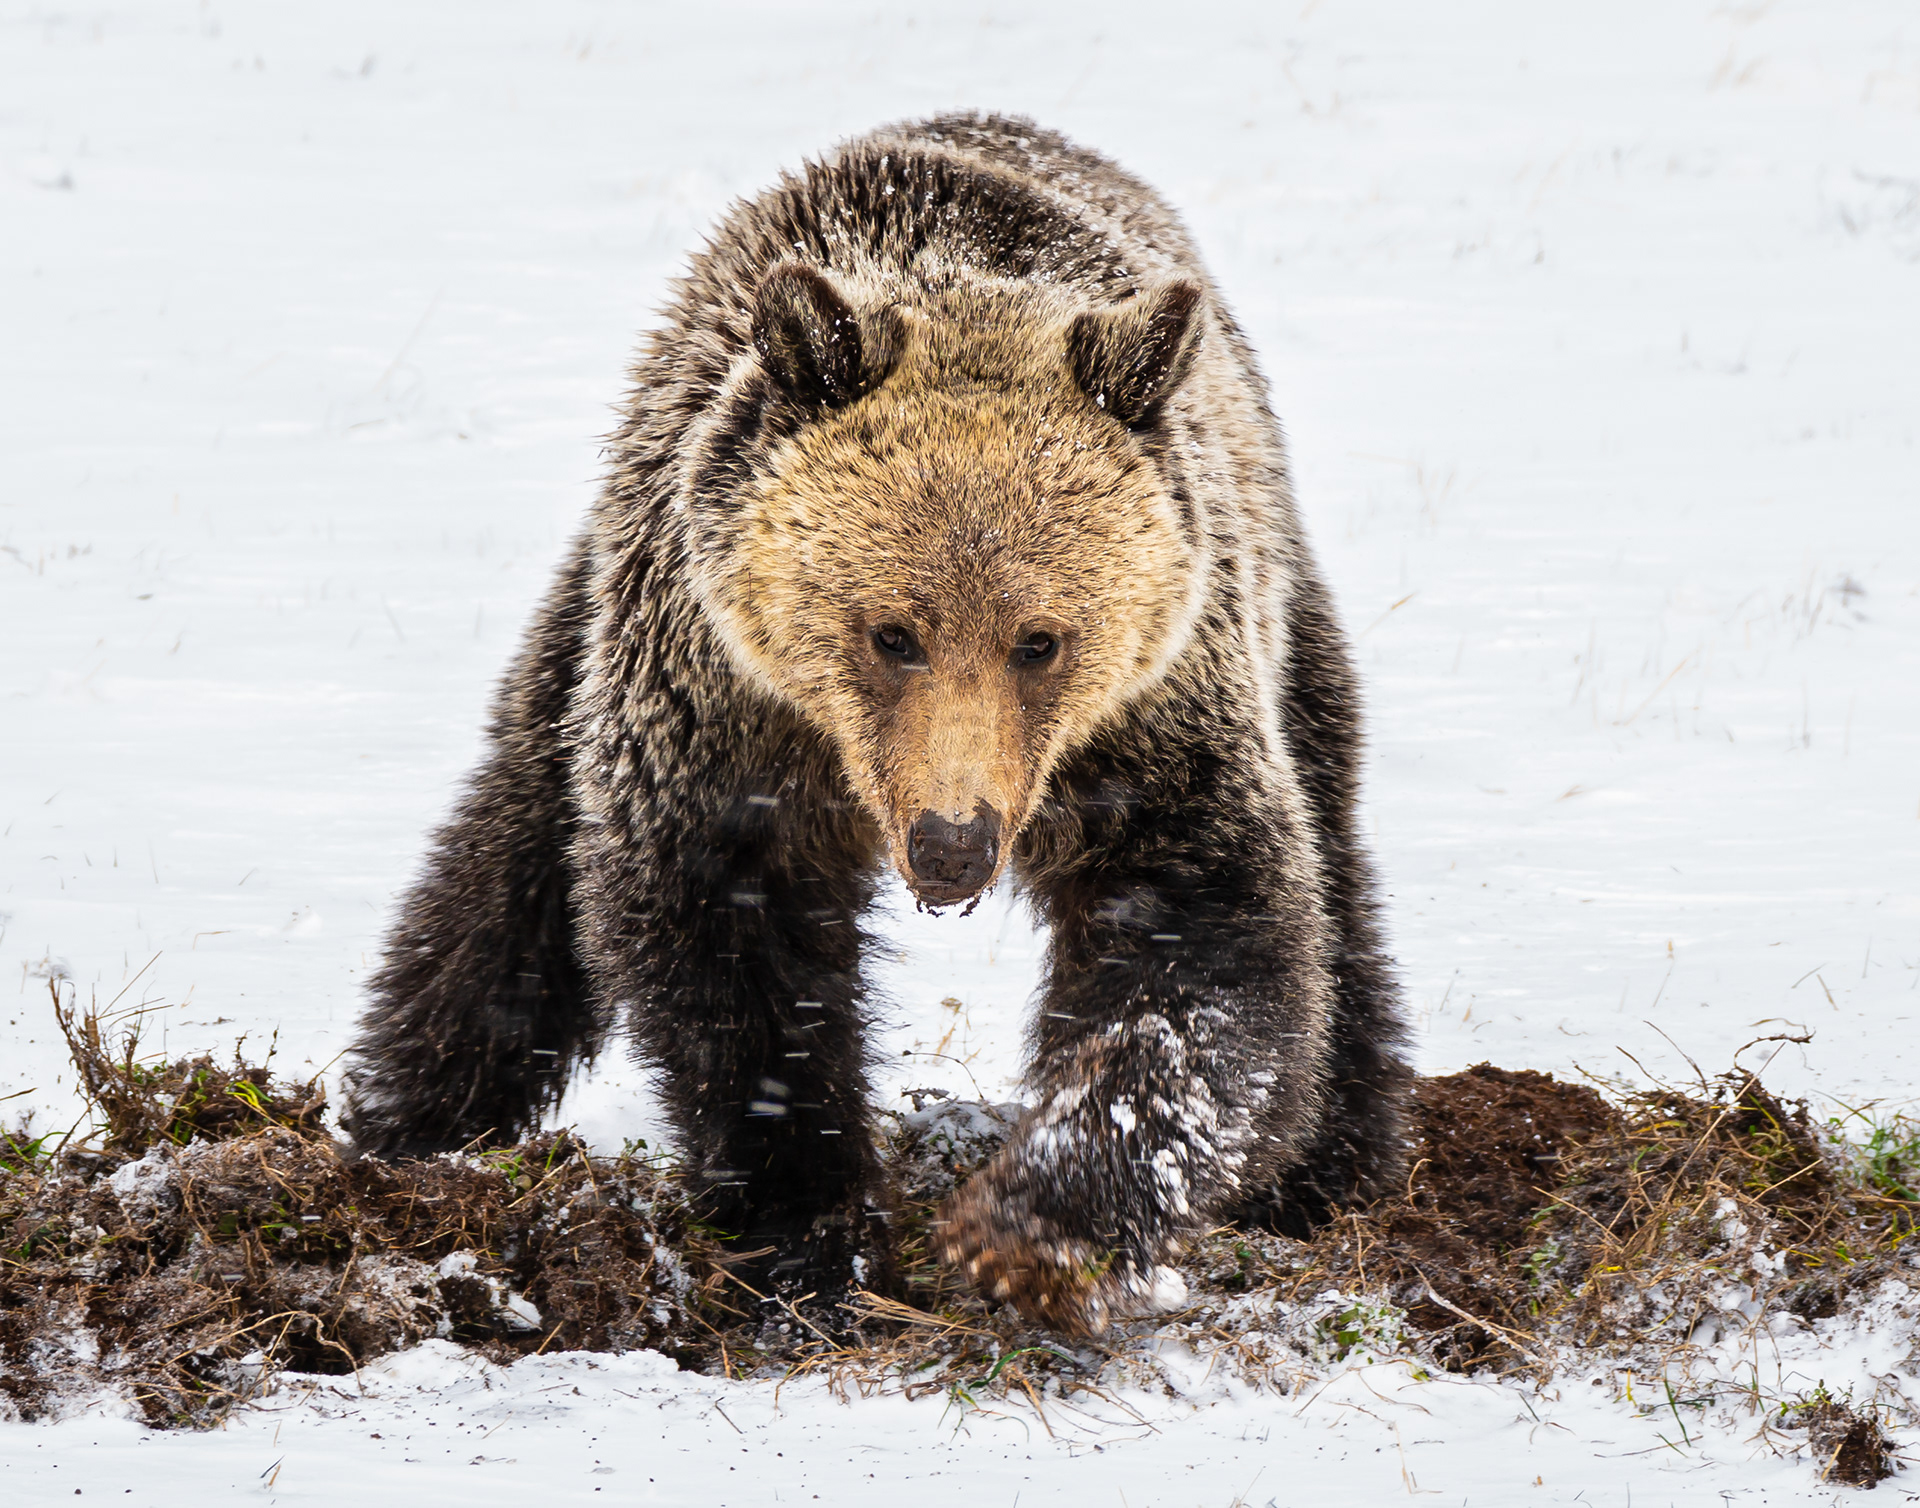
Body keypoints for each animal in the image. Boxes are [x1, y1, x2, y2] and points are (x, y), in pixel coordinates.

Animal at [340, 111, 1411, 1333]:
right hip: (594, 619)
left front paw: (1035, 1222)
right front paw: (814, 1237)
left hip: (1275, 598)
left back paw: (1333, 1166)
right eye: (892, 631)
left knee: (1334, 857)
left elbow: (1205, 947)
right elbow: (740, 968)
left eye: (1041, 639)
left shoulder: (1157, 716)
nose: (954, 843)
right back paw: (405, 1119)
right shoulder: (722, 710)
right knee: (509, 865)